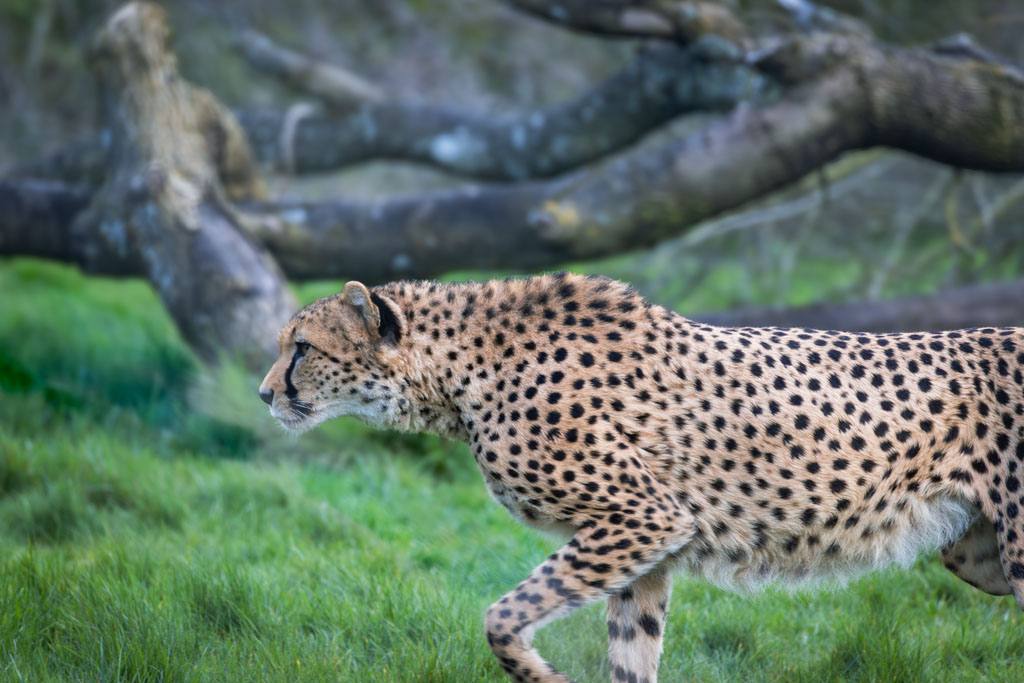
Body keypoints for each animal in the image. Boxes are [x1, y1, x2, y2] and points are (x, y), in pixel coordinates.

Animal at [258, 272, 1024, 683]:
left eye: (303, 348)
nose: (265, 394)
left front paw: (543, 673)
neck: (461, 373)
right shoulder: (643, 552)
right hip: (977, 552)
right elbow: (631, 653)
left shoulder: (642, 518)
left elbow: (501, 616)